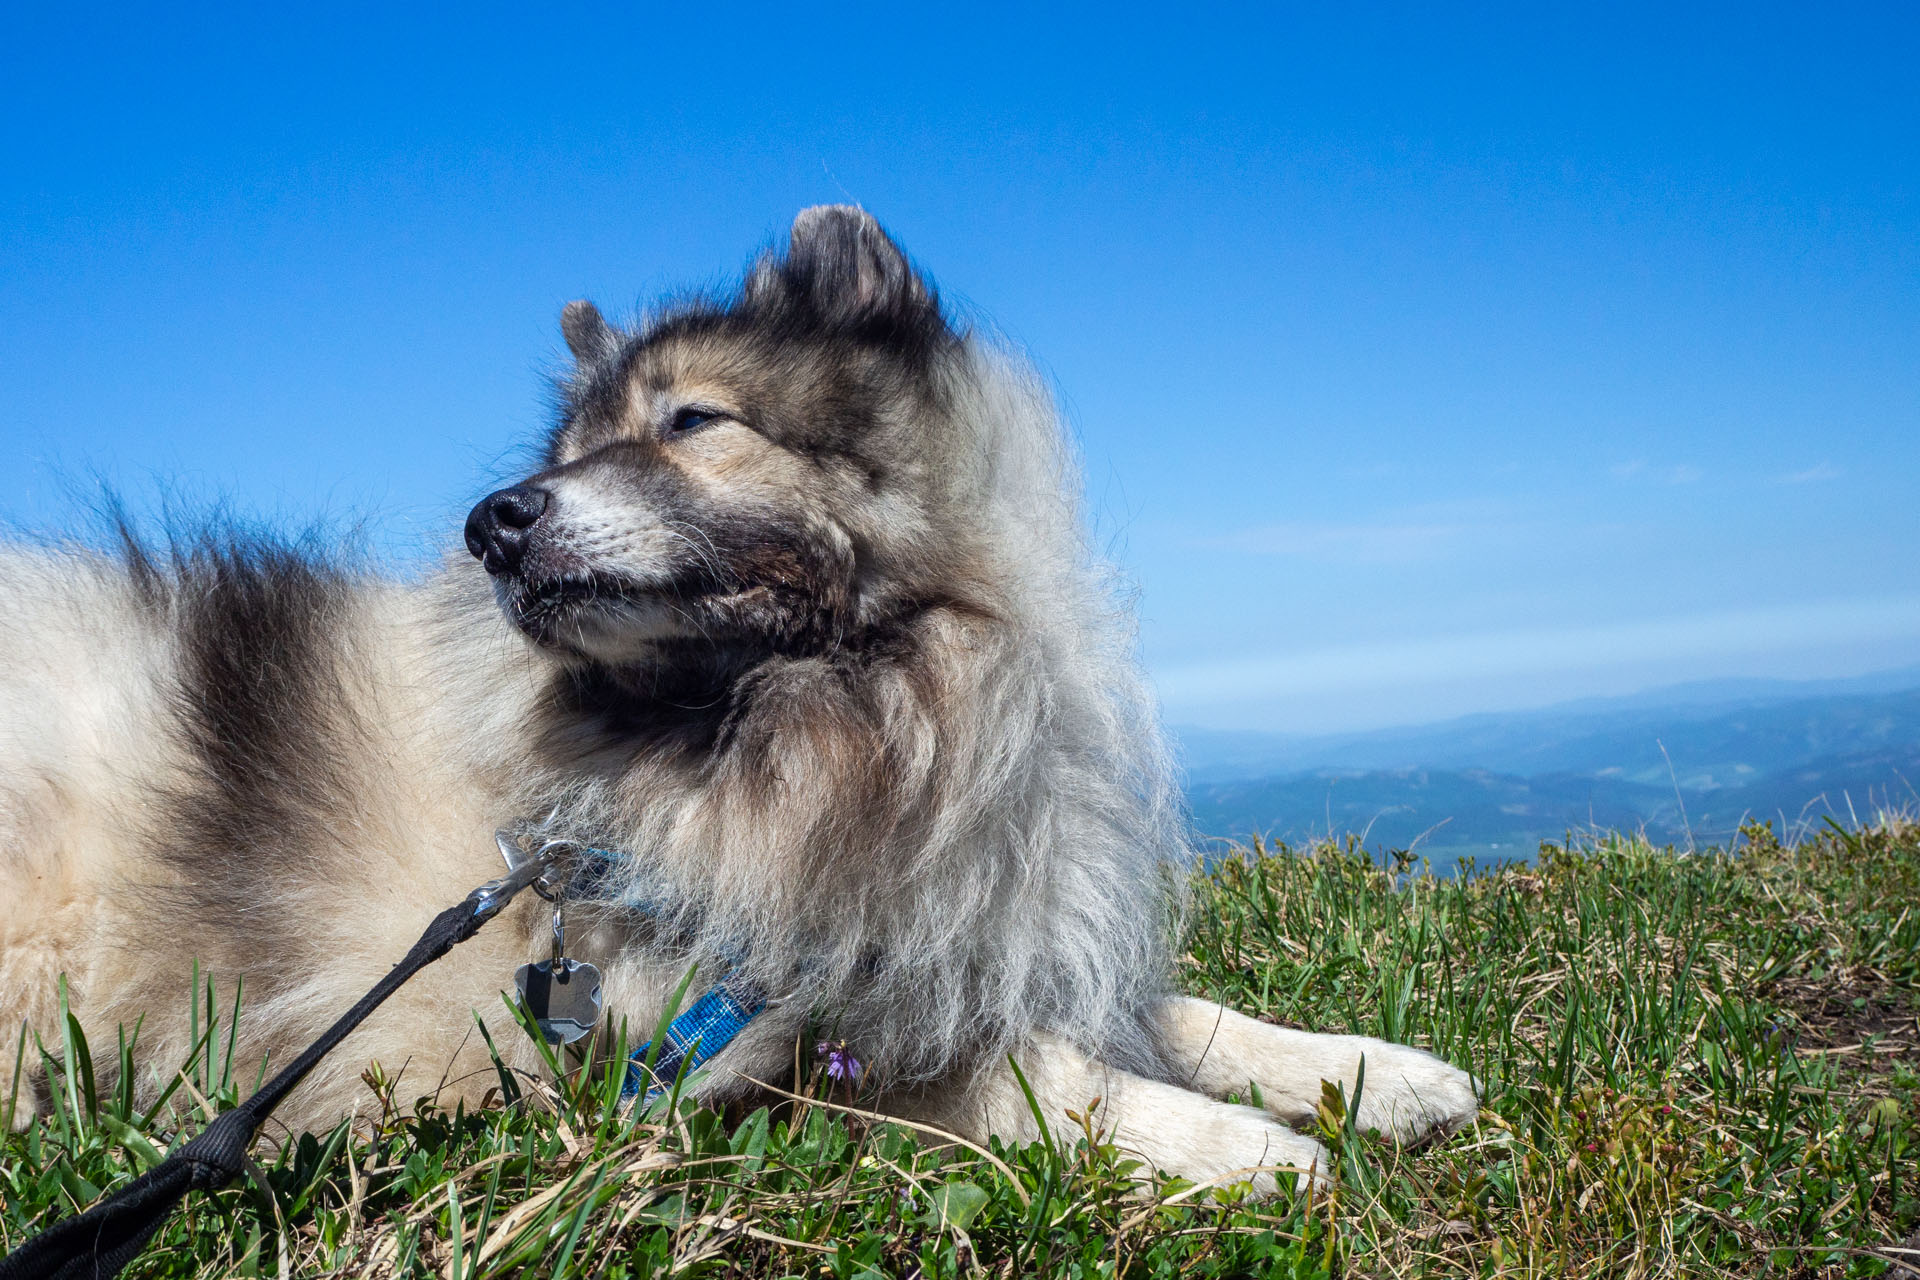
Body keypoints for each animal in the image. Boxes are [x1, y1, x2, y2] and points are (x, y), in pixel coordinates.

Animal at [0, 205, 1474, 1197]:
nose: (493, 523)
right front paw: (1240, 1143)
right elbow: (1031, 1071)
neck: (792, 718)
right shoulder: (726, 1054)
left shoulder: (934, 942)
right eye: (568, 452)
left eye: (692, 422)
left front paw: (1368, 1072)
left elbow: (1172, 1015)